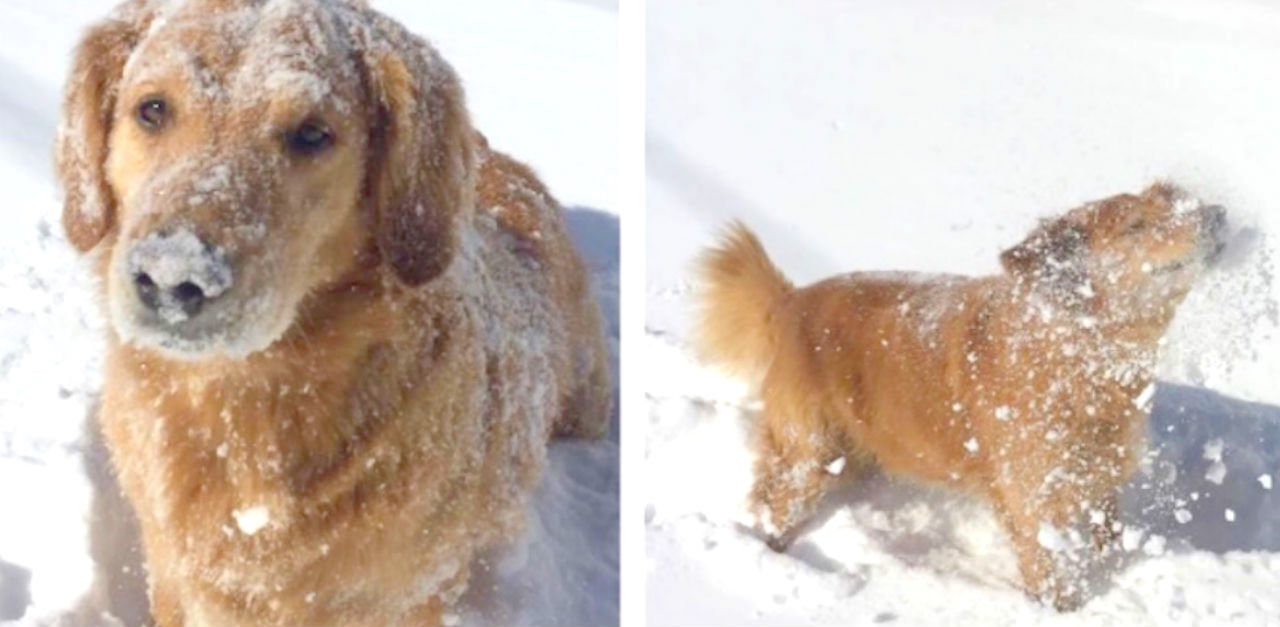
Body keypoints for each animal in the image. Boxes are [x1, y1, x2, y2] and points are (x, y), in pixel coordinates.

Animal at [696, 184, 1223, 609]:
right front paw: (1062, 608)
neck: (1074, 358)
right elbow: (1048, 570)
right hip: (809, 451)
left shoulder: (1101, 478)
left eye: (1172, 201)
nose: (1217, 213)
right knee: (769, 500)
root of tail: (791, 300)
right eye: (1136, 226)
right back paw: (772, 554)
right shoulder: (1030, 499)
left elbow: (1108, 536)